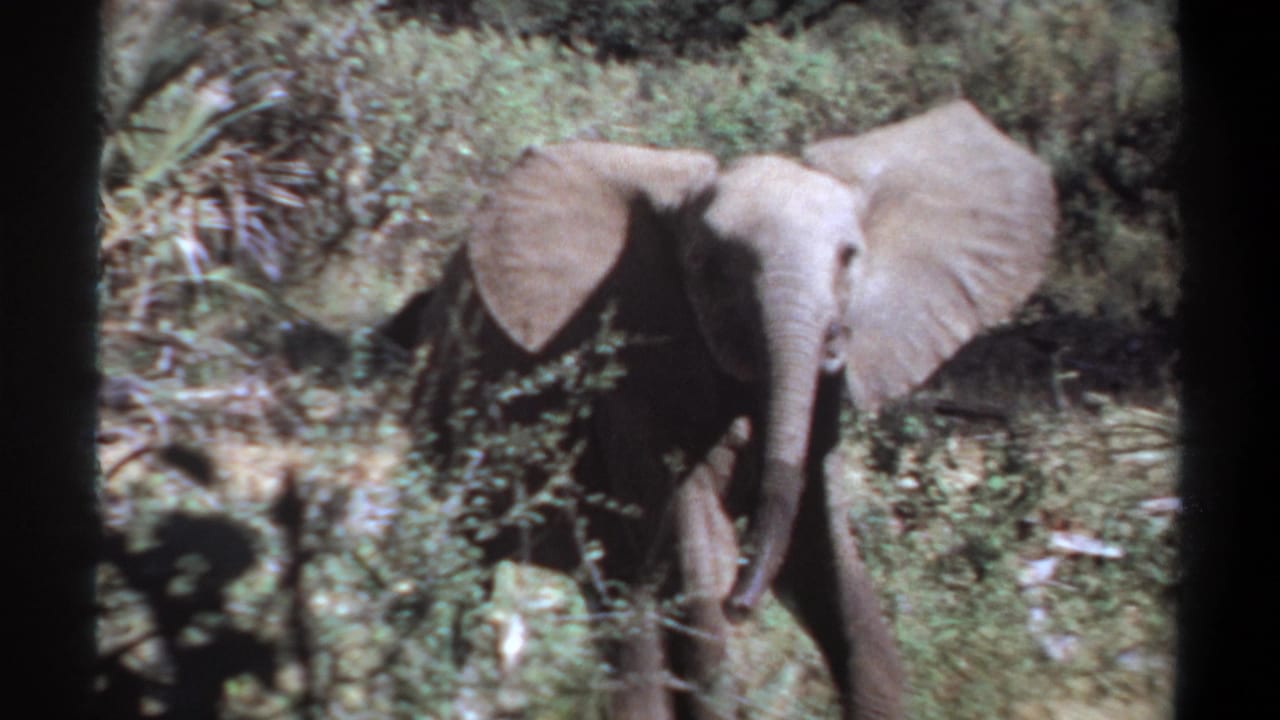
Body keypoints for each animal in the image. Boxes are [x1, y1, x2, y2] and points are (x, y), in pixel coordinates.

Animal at [399, 100, 1056, 719]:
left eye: (849, 257)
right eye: (709, 269)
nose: (742, 603)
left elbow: (829, 566)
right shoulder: (636, 387)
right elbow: (695, 556)